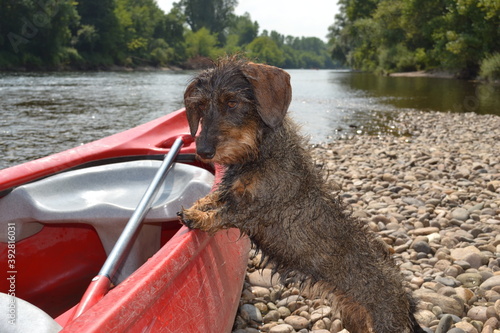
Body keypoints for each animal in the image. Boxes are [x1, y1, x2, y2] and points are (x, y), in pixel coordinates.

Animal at [178, 57, 424, 332]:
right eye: (200, 105)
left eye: (232, 102)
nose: (203, 151)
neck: (260, 151)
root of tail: (406, 301)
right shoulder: (231, 192)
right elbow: (213, 199)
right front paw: (197, 206)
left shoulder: (253, 210)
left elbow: (222, 214)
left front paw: (198, 218)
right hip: (354, 316)